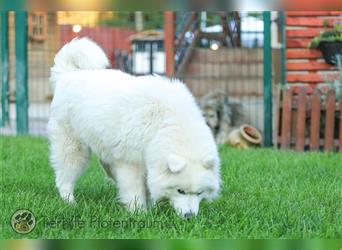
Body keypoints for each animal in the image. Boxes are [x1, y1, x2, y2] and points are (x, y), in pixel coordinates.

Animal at [47, 38, 219, 218]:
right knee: (64, 177)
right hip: (73, 149)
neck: (165, 123)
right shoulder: (131, 162)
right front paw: (139, 212)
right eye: (180, 191)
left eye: (199, 193)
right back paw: (69, 202)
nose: (189, 217)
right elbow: (135, 190)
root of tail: (66, 74)